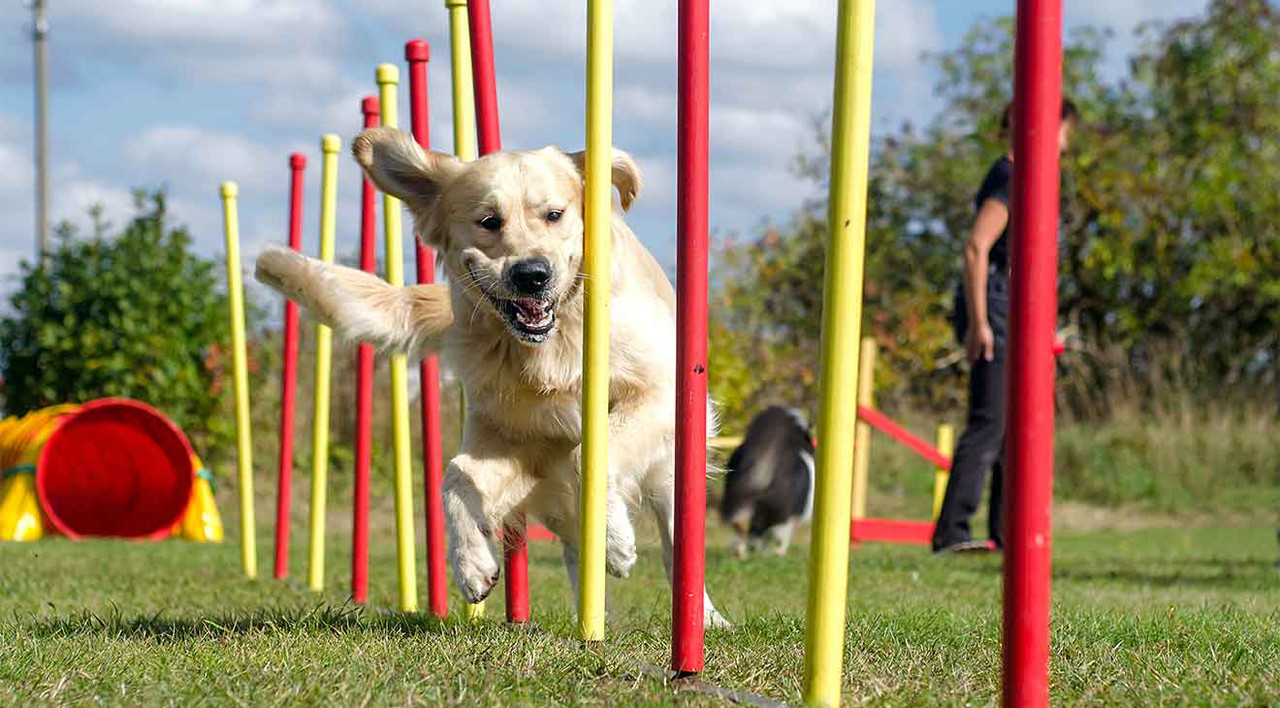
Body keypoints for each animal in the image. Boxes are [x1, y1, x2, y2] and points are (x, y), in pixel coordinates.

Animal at [254, 125, 727, 624]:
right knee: (572, 542)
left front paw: (615, 541)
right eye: (488, 221)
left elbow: (590, 454)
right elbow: (456, 476)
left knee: (675, 542)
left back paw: (704, 618)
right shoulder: (515, 437)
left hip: (672, 470)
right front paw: (472, 564)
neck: (551, 346)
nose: (531, 275)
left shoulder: (661, 394)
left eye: (554, 215)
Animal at [716, 404, 814, 555]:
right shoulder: (792, 515)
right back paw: (775, 552)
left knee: (741, 524)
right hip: (778, 509)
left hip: (737, 497)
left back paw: (741, 552)